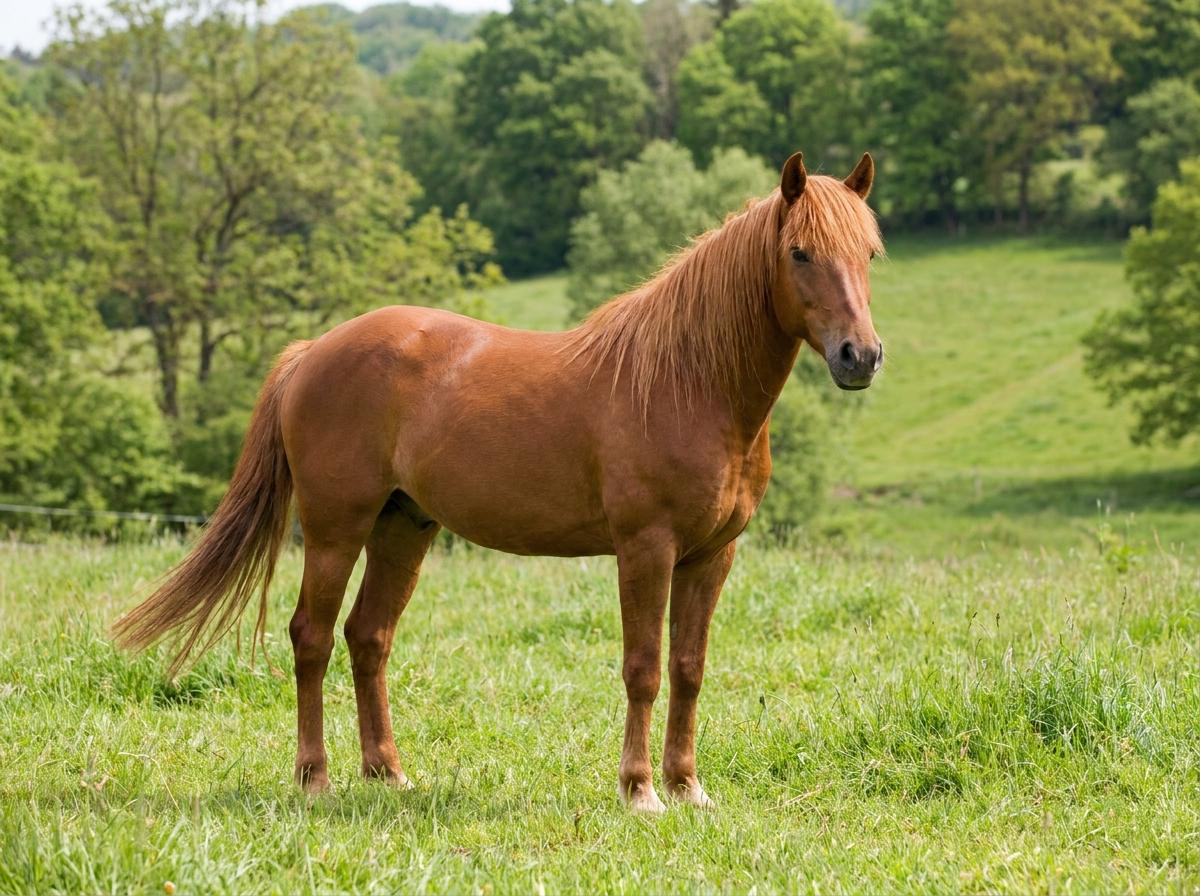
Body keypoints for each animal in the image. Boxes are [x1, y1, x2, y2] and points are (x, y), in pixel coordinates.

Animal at [114, 150, 884, 813]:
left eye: (869, 254)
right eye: (799, 253)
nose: (861, 356)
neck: (687, 382)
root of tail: (312, 352)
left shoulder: (711, 554)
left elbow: (689, 668)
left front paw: (688, 787)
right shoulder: (646, 549)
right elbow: (643, 667)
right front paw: (640, 792)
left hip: (403, 527)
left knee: (369, 636)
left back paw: (388, 773)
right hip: (336, 528)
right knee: (312, 637)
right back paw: (316, 780)